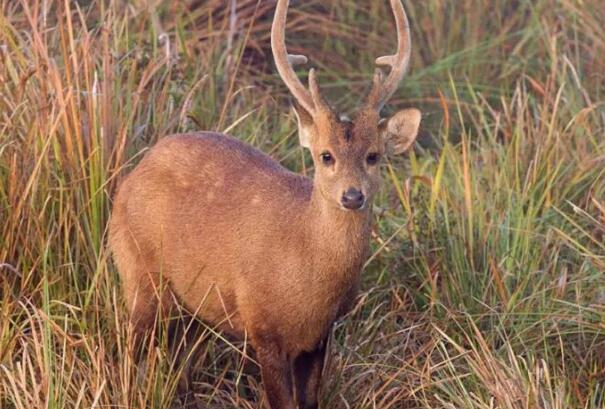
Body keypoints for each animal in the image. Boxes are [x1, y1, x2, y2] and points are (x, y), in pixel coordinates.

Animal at [108, 0, 420, 406]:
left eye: (373, 156)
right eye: (326, 156)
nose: (352, 195)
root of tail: (131, 176)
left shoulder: (321, 336)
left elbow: (309, 401)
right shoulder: (261, 325)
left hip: (195, 305)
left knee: (180, 360)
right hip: (137, 269)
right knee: (131, 351)